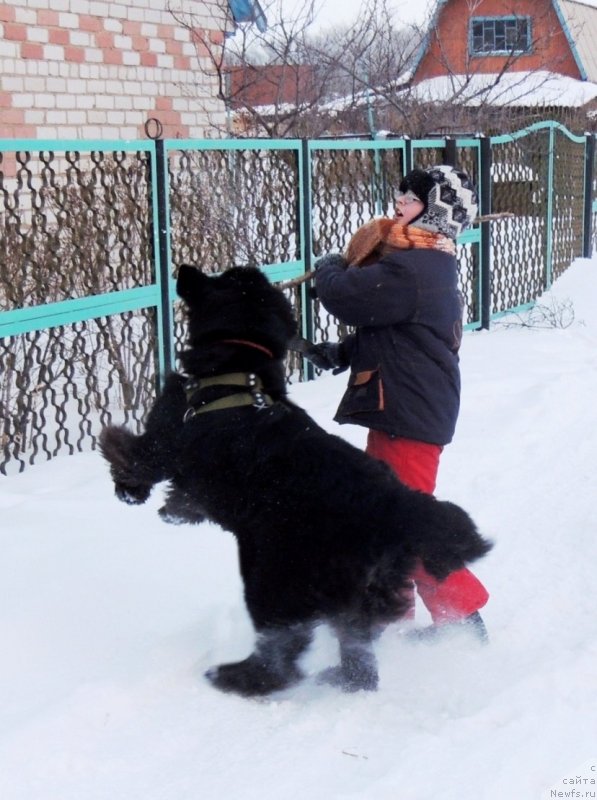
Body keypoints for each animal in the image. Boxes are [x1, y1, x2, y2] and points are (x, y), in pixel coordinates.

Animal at [100, 266, 492, 696]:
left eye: (218, 278)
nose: (185, 269)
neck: (239, 366)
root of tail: (393, 506)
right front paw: (170, 508)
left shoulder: (166, 438)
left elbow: (130, 452)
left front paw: (127, 484)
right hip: (348, 594)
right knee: (359, 661)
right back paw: (335, 680)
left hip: (273, 576)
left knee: (284, 650)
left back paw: (240, 678)